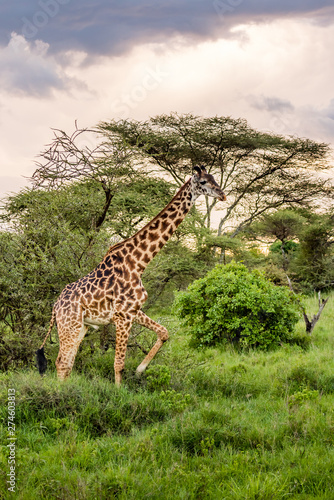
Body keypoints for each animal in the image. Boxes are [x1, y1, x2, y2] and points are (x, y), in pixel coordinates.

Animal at [36, 166, 226, 384]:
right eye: (203, 182)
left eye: (213, 178)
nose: (222, 194)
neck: (138, 263)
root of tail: (55, 307)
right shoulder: (122, 316)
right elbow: (119, 364)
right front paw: (121, 388)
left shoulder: (134, 311)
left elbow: (164, 332)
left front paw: (140, 369)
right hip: (70, 324)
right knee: (61, 362)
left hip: (80, 327)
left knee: (67, 363)